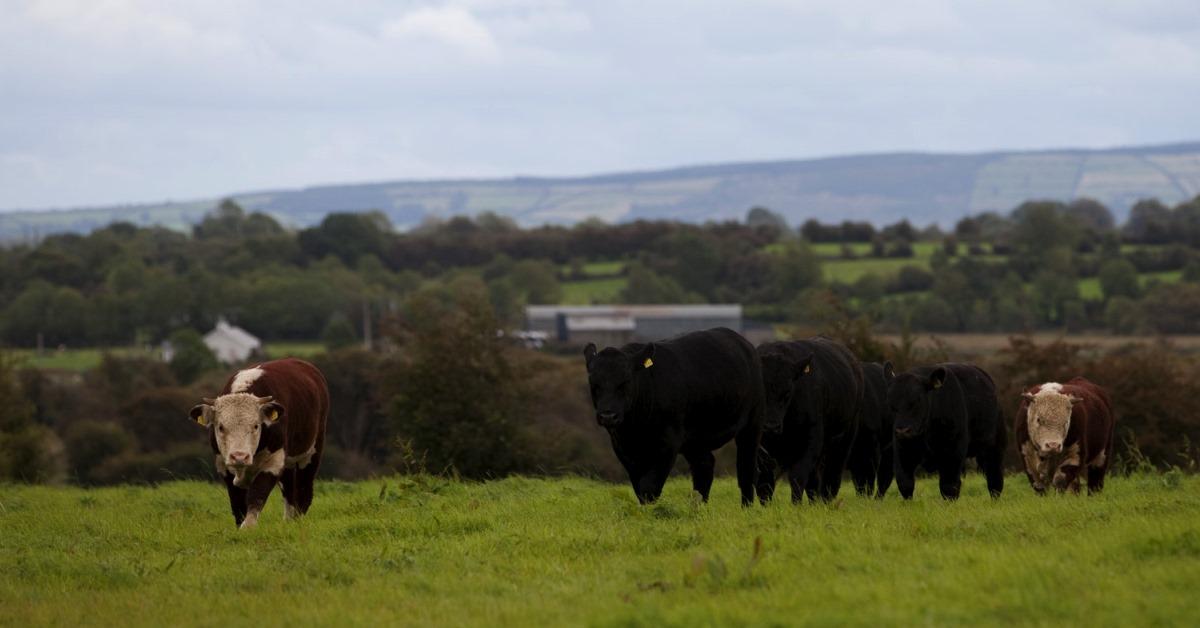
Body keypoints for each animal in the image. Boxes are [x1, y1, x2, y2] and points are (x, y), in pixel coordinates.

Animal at [187, 357, 328, 525]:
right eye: (220, 427)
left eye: (256, 425)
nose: (239, 456)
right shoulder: (223, 464)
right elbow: (238, 505)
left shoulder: (273, 462)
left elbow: (257, 496)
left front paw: (248, 527)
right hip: (287, 462)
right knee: (289, 490)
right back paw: (288, 521)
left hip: (312, 452)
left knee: (303, 490)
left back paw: (298, 521)